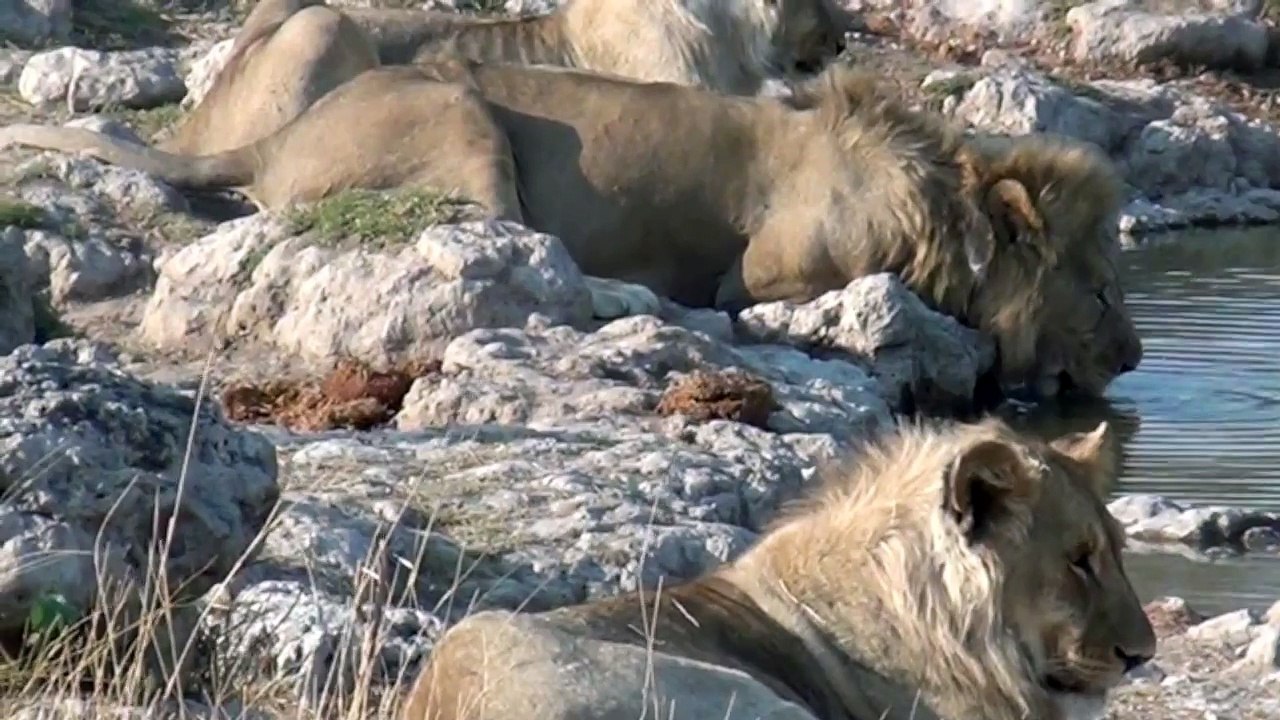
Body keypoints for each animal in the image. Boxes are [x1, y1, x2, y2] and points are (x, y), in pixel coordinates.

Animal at [0, 61, 1142, 398]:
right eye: (1098, 290)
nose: (1136, 358)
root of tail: (278, 138)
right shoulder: (763, 270)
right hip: (463, 122)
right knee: (536, 260)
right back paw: (636, 294)